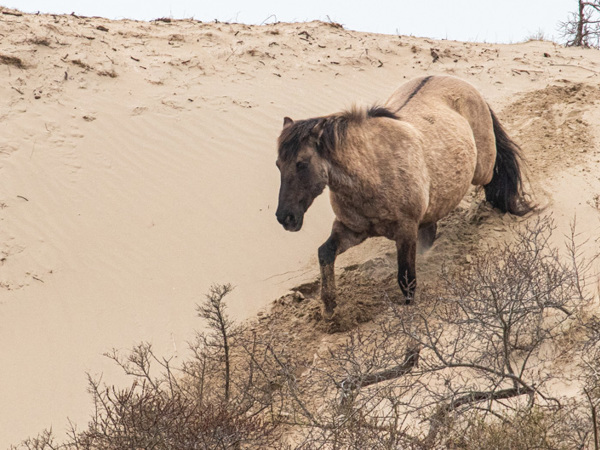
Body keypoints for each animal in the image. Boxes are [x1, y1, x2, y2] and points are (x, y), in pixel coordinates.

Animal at [274, 75, 532, 318]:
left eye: (302, 163)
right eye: (278, 164)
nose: (285, 217)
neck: (372, 171)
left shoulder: (406, 231)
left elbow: (406, 279)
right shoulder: (352, 230)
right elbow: (325, 253)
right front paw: (329, 308)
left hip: (482, 170)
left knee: (496, 173)